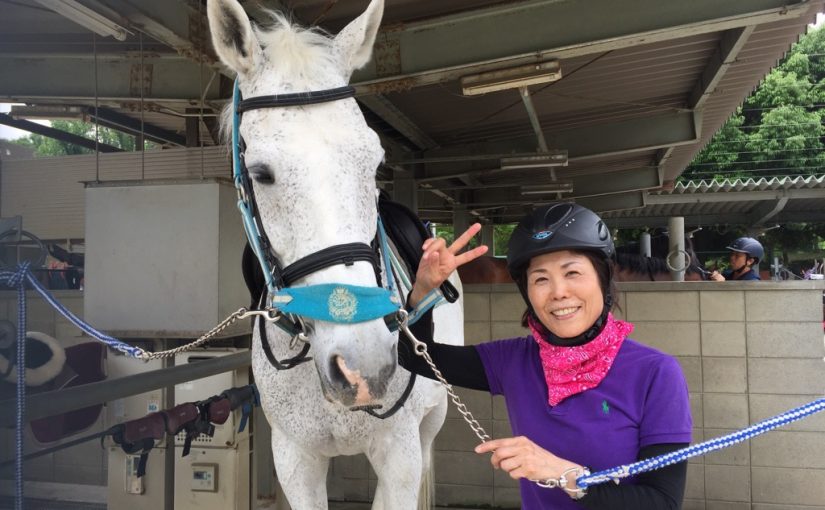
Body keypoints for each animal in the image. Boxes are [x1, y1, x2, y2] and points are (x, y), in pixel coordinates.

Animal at [207, 1, 455, 508]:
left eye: (375, 163)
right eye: (260, 173)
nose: (364, 365)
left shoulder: (400, 459)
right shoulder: (294, 460)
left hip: (430, 424)